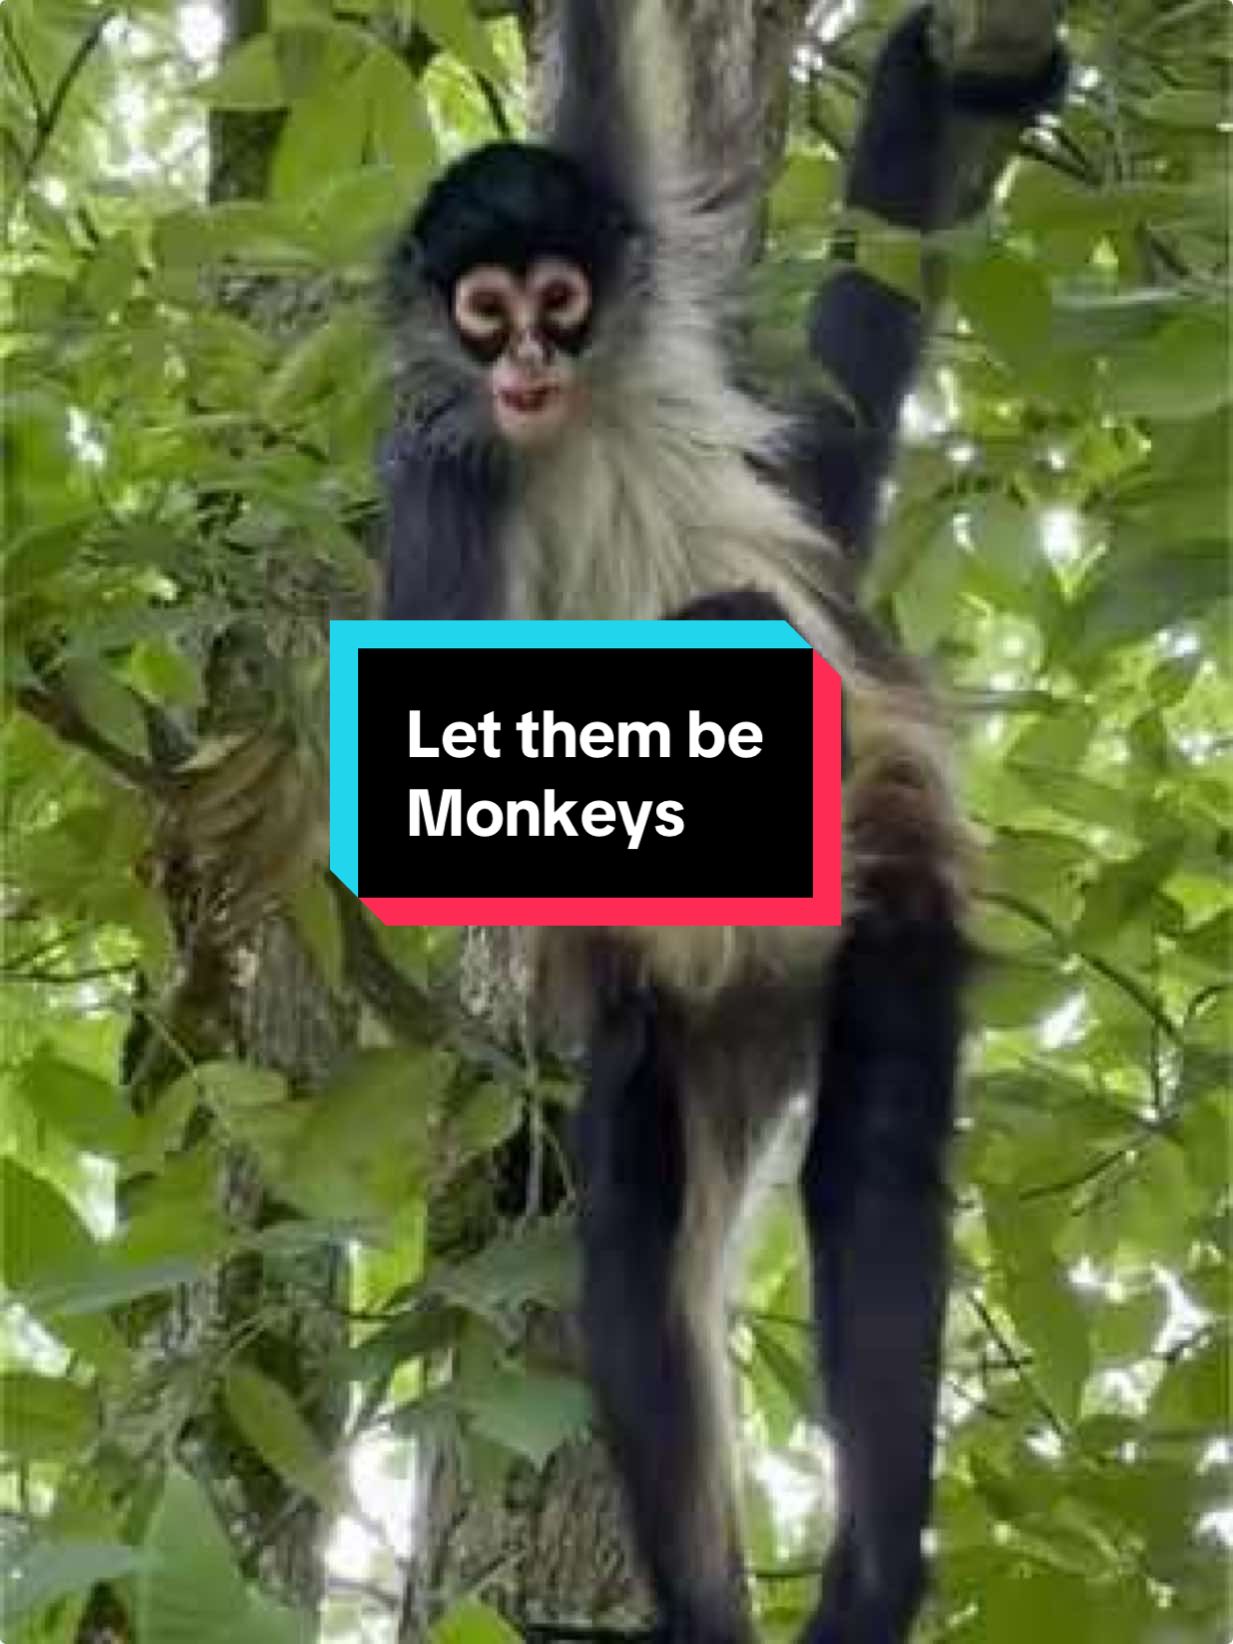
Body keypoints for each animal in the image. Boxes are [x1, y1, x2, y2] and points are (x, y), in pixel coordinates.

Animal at [380, 4, 1065, 1640]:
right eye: (484, 311)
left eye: (560, 301)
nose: (528, 364)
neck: (575, 424)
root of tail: (760, 972)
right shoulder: (435, 490)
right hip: (672, 1014)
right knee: (632, 1201)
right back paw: (703, 1601)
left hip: (881, 913)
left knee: (869, 1167)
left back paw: (876, 1575)